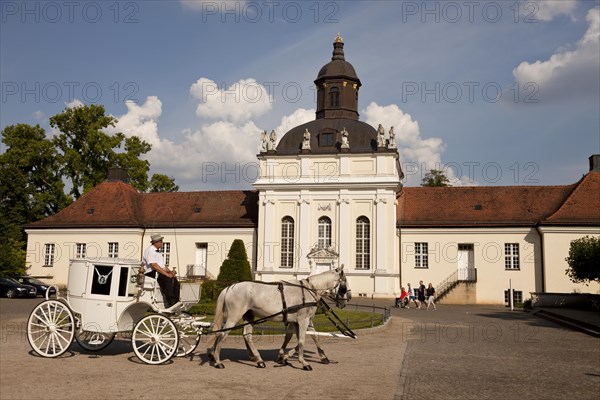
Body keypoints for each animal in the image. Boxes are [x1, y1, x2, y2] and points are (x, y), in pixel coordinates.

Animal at [209, 268, 352, 370]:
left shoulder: (300, 321)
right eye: (344, 284)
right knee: (222, 334)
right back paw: (217, 360)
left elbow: (309, 337)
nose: (348, 299)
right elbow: (301, 340)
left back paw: (258, 360)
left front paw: (284, 356)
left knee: (246, 335)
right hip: (234, 317)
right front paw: (303, 362)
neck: (309, 290)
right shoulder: (303, 320)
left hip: (249, 316)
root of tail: (230, 287)